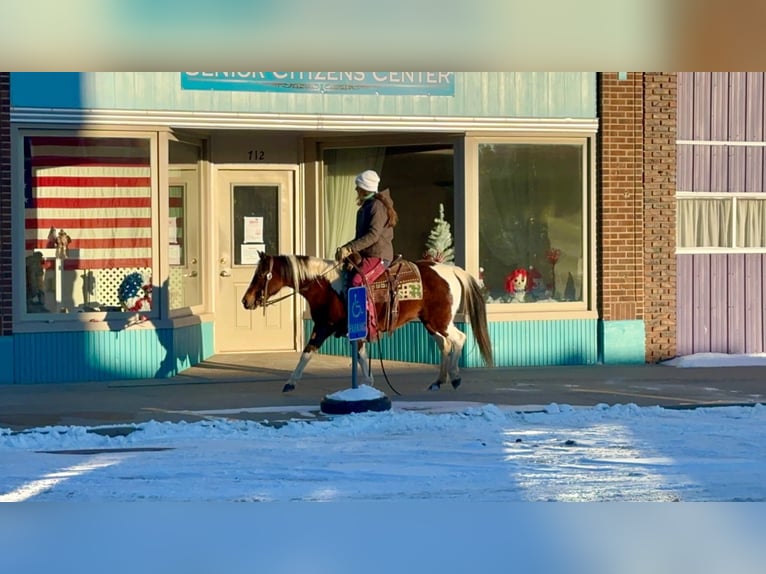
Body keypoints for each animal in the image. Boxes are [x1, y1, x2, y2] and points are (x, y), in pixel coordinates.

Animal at [242, 253, 498, 394]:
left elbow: (314, 353)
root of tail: (452, 270)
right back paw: (438, 381)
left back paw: (455, 377)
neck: (328, 287)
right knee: (445, 345)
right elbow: (312, 353)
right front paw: (290, 383)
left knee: (459, 339)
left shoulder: (330, 327)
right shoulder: (327, 328)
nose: (246, 300)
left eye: (261, 275)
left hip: (440, 321)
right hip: (430, 323)